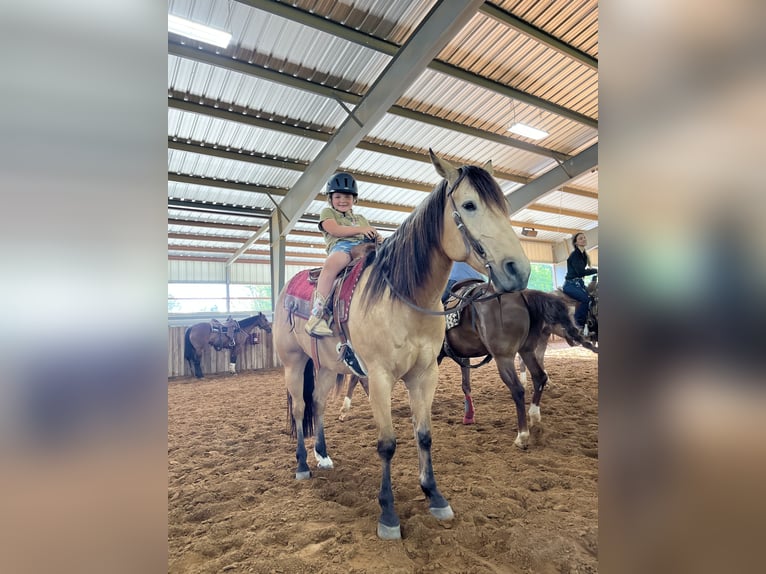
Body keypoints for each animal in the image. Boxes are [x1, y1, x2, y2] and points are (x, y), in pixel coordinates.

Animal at [272, 150, 532, 540]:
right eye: (469, 205)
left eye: (503, 206)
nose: (519, 270)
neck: (403, 299)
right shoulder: (379, 378)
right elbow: (388, 444)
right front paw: (388, 513)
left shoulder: (424, 374)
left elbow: (423, 435)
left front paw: (434, 496)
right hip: (293, 363)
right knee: (302, 408)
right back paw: (303, 465)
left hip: (326, 367)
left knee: (316, 404)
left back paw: (323, 455)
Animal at [438, 286, 592, 444]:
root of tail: (524, 294)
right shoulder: (461, 355)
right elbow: (465, 385)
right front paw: (469, 416)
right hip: (526, 350)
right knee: (539, 377)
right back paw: (534, 417)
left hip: (503, 357)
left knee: (517, 389)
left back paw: (522, 435)